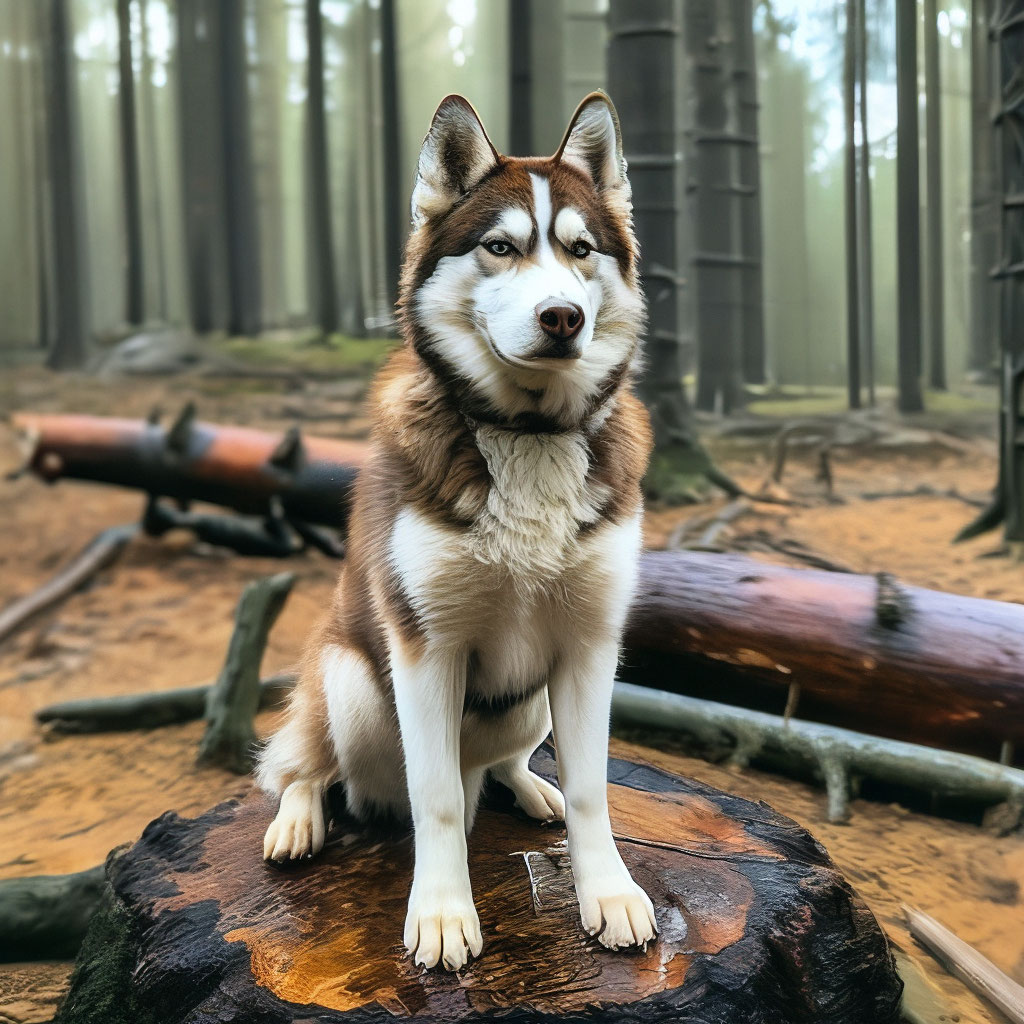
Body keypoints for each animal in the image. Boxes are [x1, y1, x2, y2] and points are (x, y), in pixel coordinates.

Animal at [258, 92, 655, 970]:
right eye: (500, 247)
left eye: (580, 250)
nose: (562, 317)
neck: (528, 435)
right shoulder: (425, 649)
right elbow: (434, 796)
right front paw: (442, 912)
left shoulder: (590, 646)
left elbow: (593, 787)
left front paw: (606, 891)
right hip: (349, 680)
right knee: (306, 761)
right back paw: (298, 818)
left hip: (530, 706)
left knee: (503, 762)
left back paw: (527, 786)